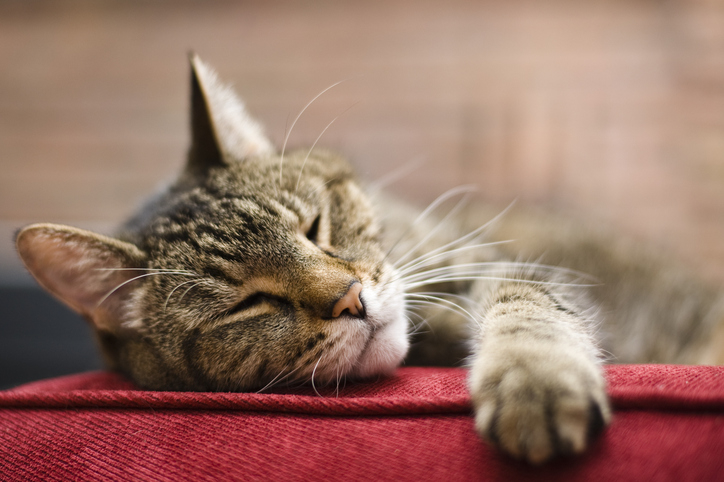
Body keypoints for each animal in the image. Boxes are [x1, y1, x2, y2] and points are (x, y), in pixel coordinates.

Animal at [12, 54, 724, 466]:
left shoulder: (499, 263)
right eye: (250, 303)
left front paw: (535, 380)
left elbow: (525, 307)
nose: (350, 297)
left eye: (315, 226)